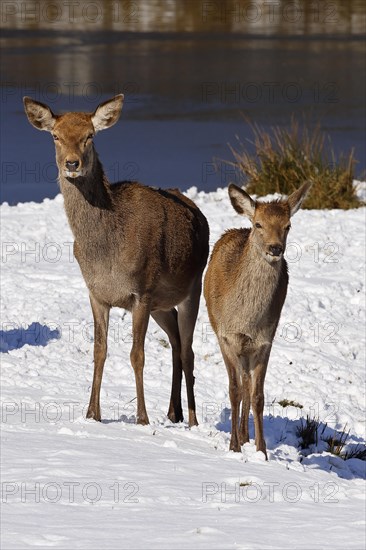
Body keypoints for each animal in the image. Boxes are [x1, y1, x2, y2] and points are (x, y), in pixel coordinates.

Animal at [23, 96, 209, 426]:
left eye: (90, 136)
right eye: (55, 136)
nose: (72, 163)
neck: (106, 252)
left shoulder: (142, 292)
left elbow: (137, 355)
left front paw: (142, 418)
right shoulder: (97, 293)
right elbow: (99, 350)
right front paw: (92, 414)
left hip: (193, 286)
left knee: (188, 350)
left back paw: (192, 419)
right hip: (163, 304)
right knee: (175, 341)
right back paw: (172, 412)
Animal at [204, 183, 310, 460]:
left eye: (288, 225)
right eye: (259, 224)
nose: (275, 248)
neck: (246, 320)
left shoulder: (264, 342)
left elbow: (258, 395)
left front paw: (261, 451)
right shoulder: (227, 337)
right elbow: (234, 390)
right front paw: (234, 446)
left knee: (247, 384)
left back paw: (245, 435)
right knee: (240, 384)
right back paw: (239, 437)